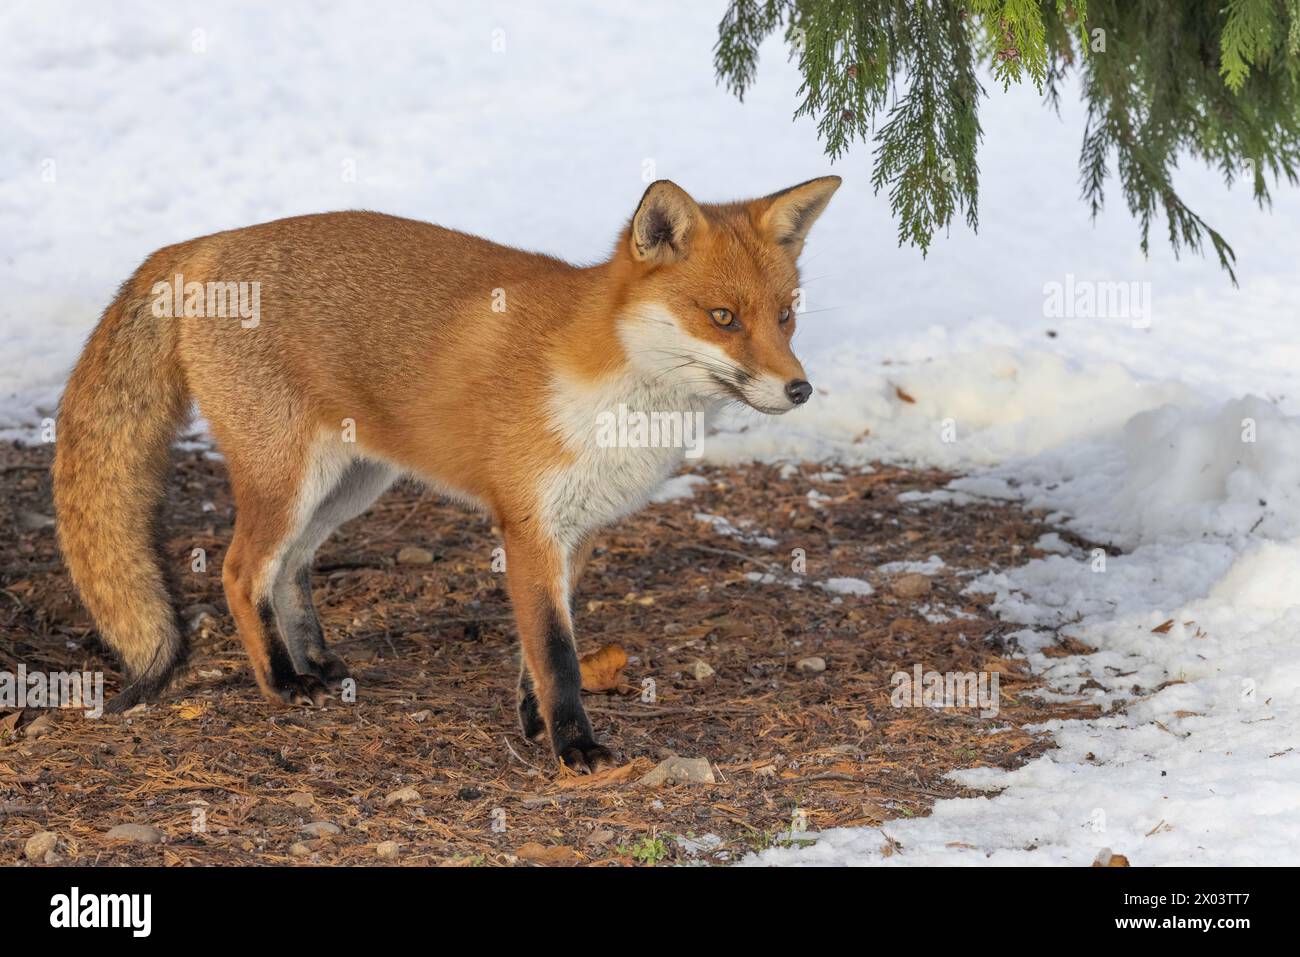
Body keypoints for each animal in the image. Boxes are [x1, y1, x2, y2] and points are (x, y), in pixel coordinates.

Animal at [52, 175, 840, 771]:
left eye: (786, 316)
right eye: (722, 317)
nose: (800, 389)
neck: (616, 396)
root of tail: (200, 243)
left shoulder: (577, 530)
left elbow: (538, 649)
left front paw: (535, 722)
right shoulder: (527, 524)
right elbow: (556, 652)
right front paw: (573, 746)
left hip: (349, 485)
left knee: (292, 567)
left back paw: (318, 664)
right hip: (289, 480)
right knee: (239, 569)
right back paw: (281, 681)